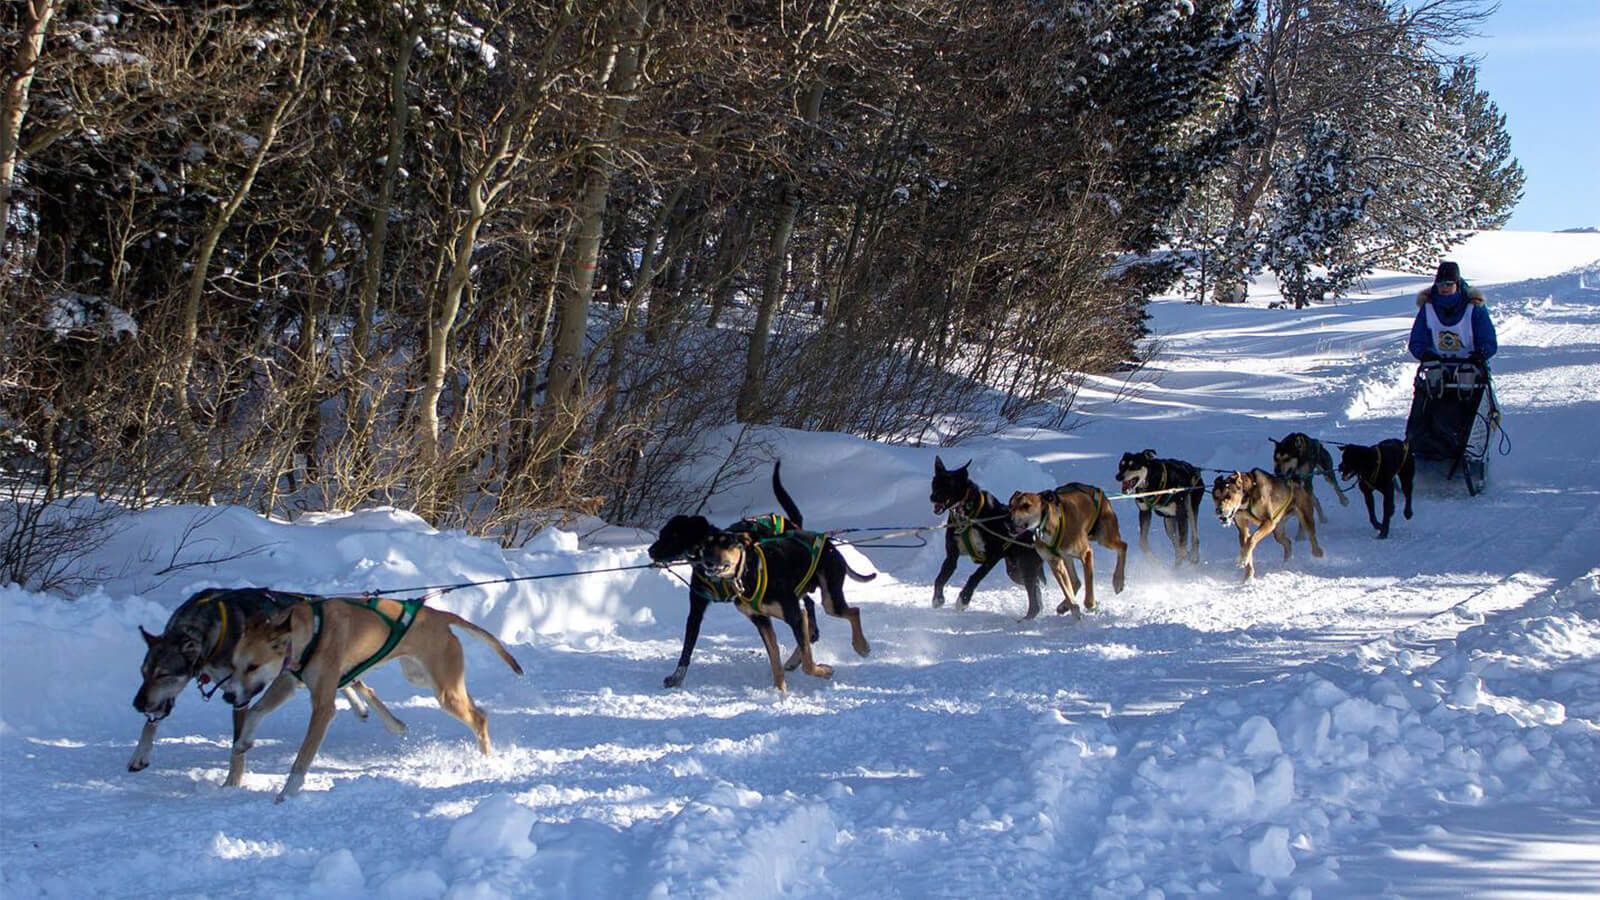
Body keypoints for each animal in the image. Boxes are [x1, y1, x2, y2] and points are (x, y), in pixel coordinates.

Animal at [132, 586, 406, 781]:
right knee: (351, 684)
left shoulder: (240, 696)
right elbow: (151, 722)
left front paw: (232, 782)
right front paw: (140, 754)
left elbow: (237, 742)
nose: (137, 704)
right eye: (144, 673)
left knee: (362, 686)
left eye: (163, 674)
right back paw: (363, 710)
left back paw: (391, 722)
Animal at [222, 595, 521, 797]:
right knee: (478, 710)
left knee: (480, 720)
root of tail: (438, 614)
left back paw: (486, 760)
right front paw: (243, 742)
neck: (312, 632)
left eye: (252, 666)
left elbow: (302, 759)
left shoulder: (323, 707)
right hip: (424, 679)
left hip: (445, 693)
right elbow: (256, 711)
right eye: (234, 664)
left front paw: (287, 793)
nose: (228, 696)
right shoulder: (287, 681)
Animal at [649, 458, 876, 688]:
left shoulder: (792, 614)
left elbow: (807, 663)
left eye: (673, 536)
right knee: (811, 622)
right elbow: (690, 647)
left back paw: (859, 646)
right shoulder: (722, 612)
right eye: (662, 534)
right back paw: (799, 655)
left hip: (829, 599)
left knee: (848, 612)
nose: (650, 550)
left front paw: (822, 670)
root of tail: (826, 541)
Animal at [928, 454, 1049, 614]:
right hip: (1016, 572)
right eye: (935, 483)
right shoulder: (952, 555)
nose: (933, 497)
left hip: (1025, 566)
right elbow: (940, 578)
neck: (967, 514)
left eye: (947, 485)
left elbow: (976, 576)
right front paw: (938, 598)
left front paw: (963, 599)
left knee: (1034, 593)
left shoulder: (994, 554)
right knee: (1035, 589)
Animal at [1004, 483, 1132, 614]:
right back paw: (1064, 605)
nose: (1008, 520)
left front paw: (1091, 604)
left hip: (1104, 538)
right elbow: (1067, 590)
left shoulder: (1086, 554)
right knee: (1076, 581)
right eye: (1010, 505)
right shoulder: (1054, 562)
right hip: (1067, 557)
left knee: (1123, 546)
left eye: (1026, 505)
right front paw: (1073, 608)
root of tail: (1093, 488)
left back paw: (1118, 581)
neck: (1049, 525)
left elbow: (1088, 586)